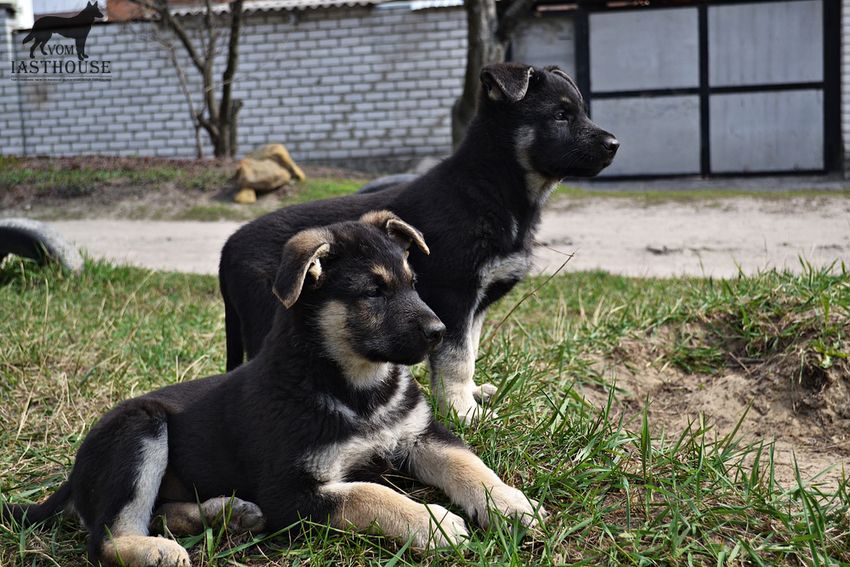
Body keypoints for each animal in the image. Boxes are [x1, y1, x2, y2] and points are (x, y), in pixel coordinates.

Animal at [1, 211, 544, 564]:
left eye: (413, 282)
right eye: (373, 292)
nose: (440, 333)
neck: (354, 386)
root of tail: (75, 472)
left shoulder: (420, 436)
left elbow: (469, 465)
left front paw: (511, 504)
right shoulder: (291, 492)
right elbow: (369, 493)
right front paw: (432, 521)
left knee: (158, 512)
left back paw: (225, 514)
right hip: (140, 427)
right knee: (107, 539)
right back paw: (158, 548)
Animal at [219, 64, 616, 424]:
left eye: (582, 111)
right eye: (561, 115)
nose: (615, 145)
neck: (491, 188)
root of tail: (226, 251)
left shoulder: (475, 305)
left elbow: (468, 352)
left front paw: (470, 395)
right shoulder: (455, 297)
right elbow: (456, 358)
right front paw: (463, 412)